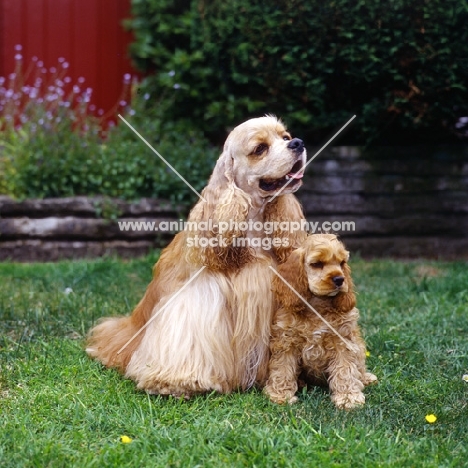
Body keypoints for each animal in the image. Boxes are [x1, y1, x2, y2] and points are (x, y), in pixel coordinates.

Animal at [264, 234, 376, 410]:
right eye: (317, 264)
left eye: (342, 263)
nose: (340, 279)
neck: (317, 307)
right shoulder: (286, 341)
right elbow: (282, 369)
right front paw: (280, 395)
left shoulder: (343, 342)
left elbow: (345, 370)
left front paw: (348, 397)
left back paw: (367, 378)